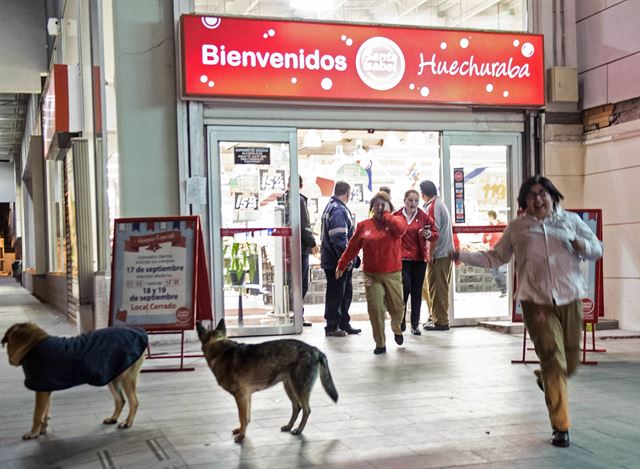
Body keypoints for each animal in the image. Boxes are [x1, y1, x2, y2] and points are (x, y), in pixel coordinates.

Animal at [1, 322, 146, 438]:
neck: (34, 345)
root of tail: (140, 332)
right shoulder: (45, 388)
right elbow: (45, 412)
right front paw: (43, 428)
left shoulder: (41, 391)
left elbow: (37, 415)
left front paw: (33, 433)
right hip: (112, 376)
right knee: (120, 400)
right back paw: (113, 419)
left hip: (126, 378)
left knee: (134, 402)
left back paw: (128, 422)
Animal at [196, 318, 338, 442]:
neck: (218, 347)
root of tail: (314, 349)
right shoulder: (246, 397)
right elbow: (246, 418)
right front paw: (241, 430)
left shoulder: (241, 397)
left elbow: (242, 417)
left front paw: (242, 436)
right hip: (289, 387)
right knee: (297, 407)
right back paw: (289, 426)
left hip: (299, 388)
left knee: (306, 410)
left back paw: (299, 429)